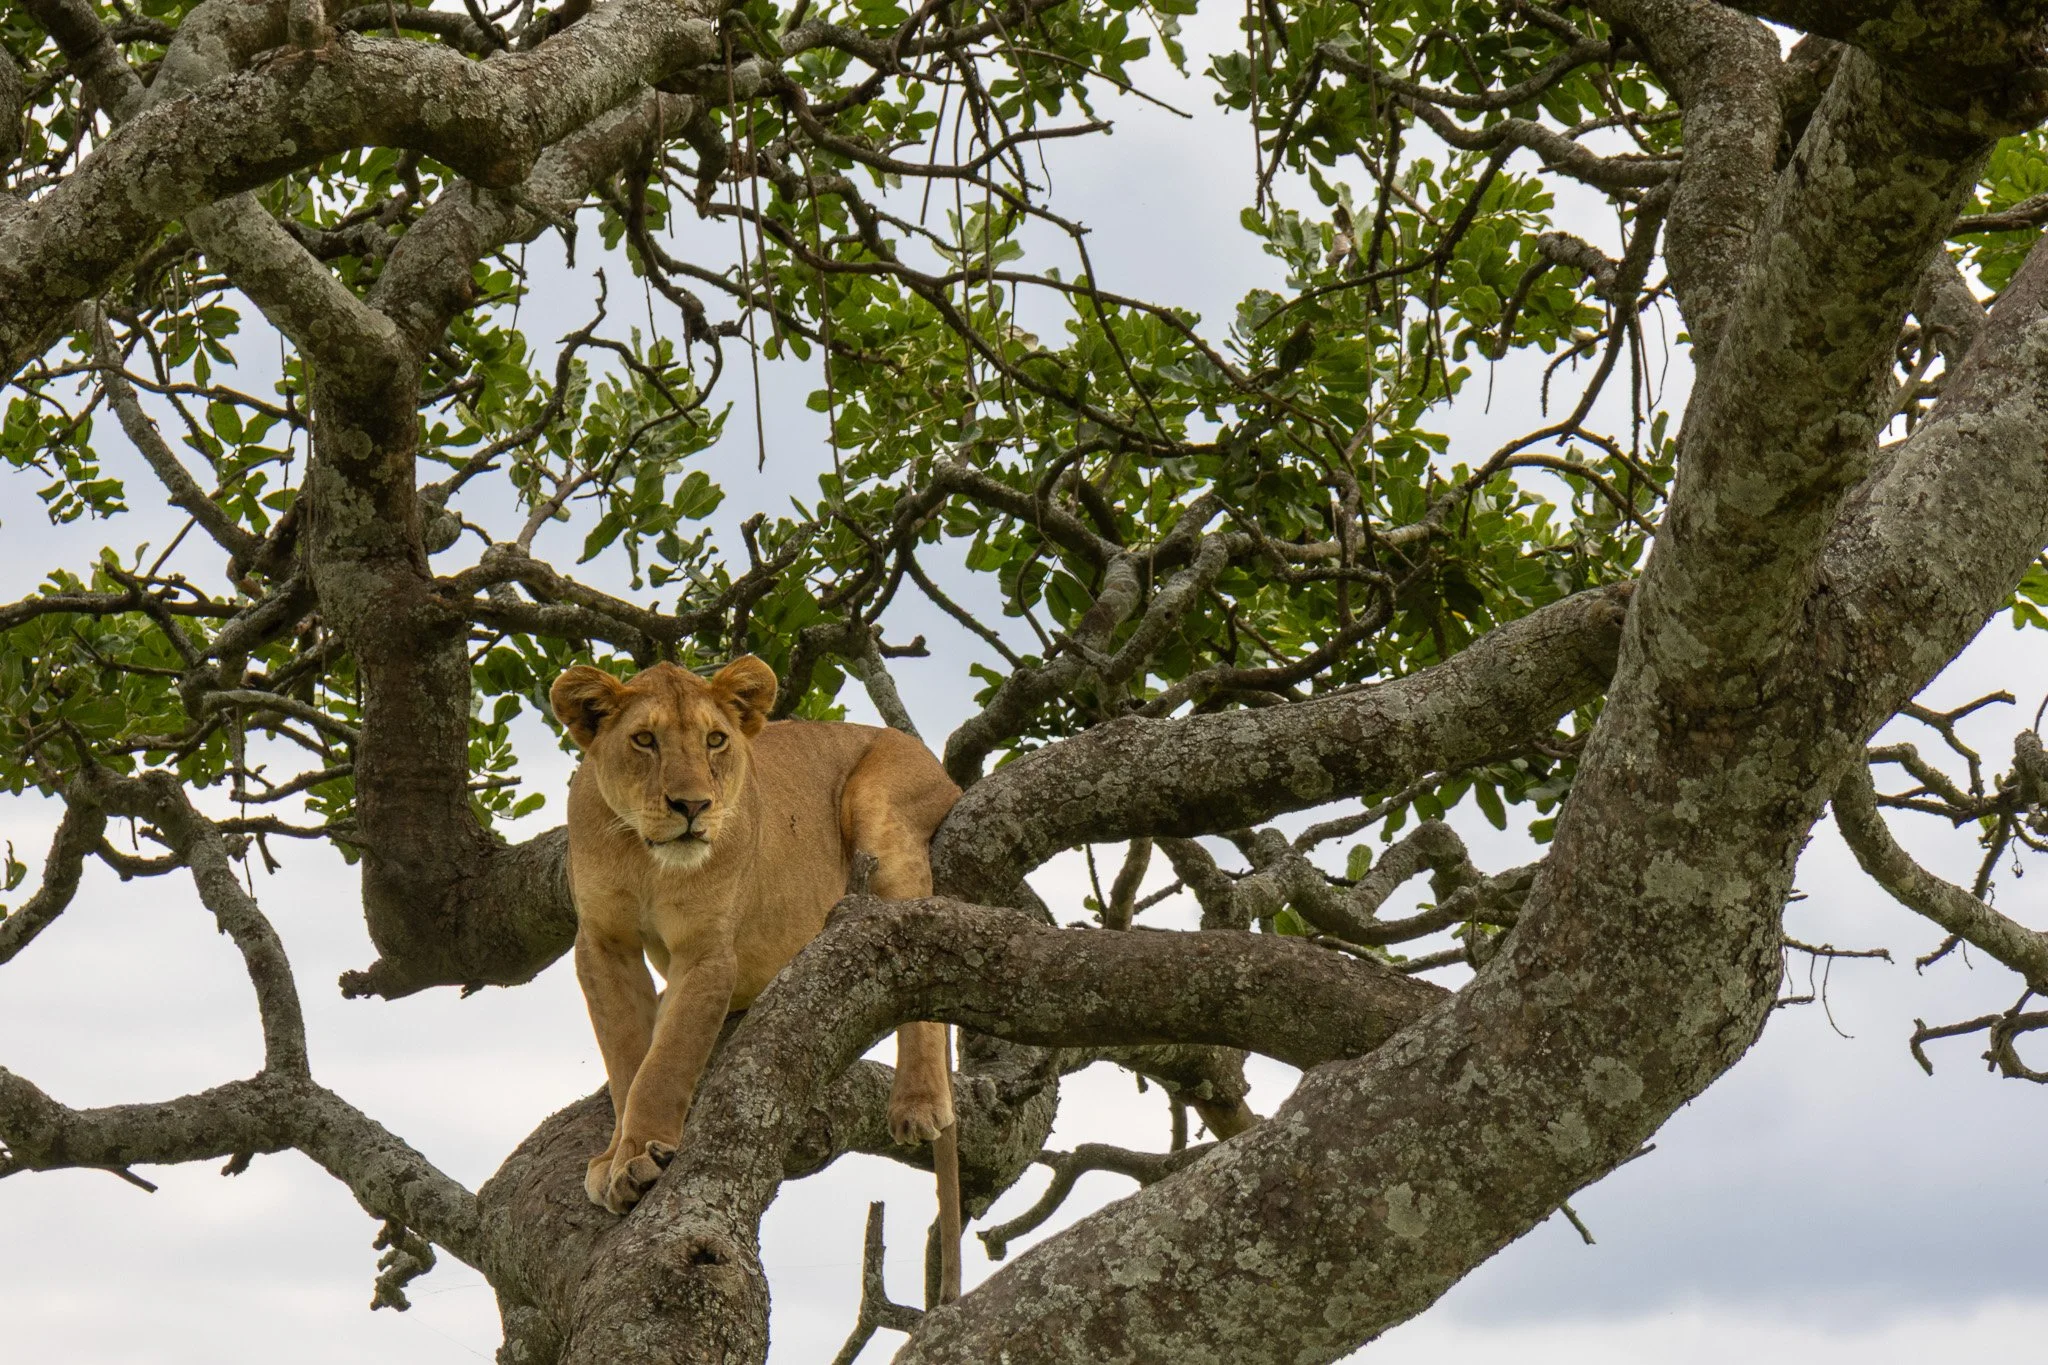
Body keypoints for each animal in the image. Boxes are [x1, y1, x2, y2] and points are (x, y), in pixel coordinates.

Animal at [549, 656, 962, 1287]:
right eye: (644, 740)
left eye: (715, 740)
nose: (692, 806)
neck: (646, 858)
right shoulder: (602, 945)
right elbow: (627, 1060)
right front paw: (615, 1156)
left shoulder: (707, 951)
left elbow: (665, 1064)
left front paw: (640, 1159)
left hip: (882, 809)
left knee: (916, 944)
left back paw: (917, 1103)